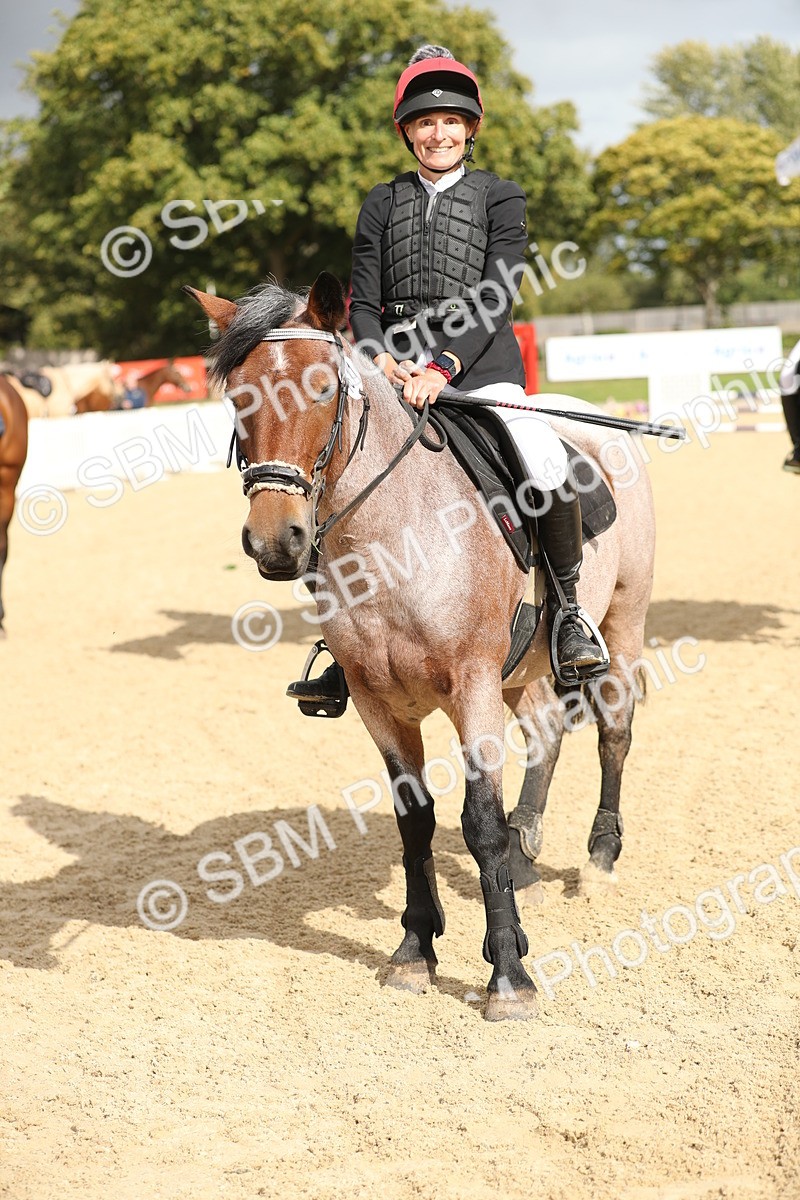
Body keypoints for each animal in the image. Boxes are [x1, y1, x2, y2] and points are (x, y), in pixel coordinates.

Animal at [186, 272, 656, 1021]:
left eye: (324, 388)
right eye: (238, 398)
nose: (275, 540)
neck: (394, 539)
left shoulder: (471, 686)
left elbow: (479, 821)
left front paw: (509, 979)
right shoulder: (380, 702)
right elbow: (416, 823)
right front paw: (415, 951)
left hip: (622, 619)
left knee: (613, 729)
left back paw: (600, 858)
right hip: (520, 667)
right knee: (547, 731)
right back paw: (525, 859)